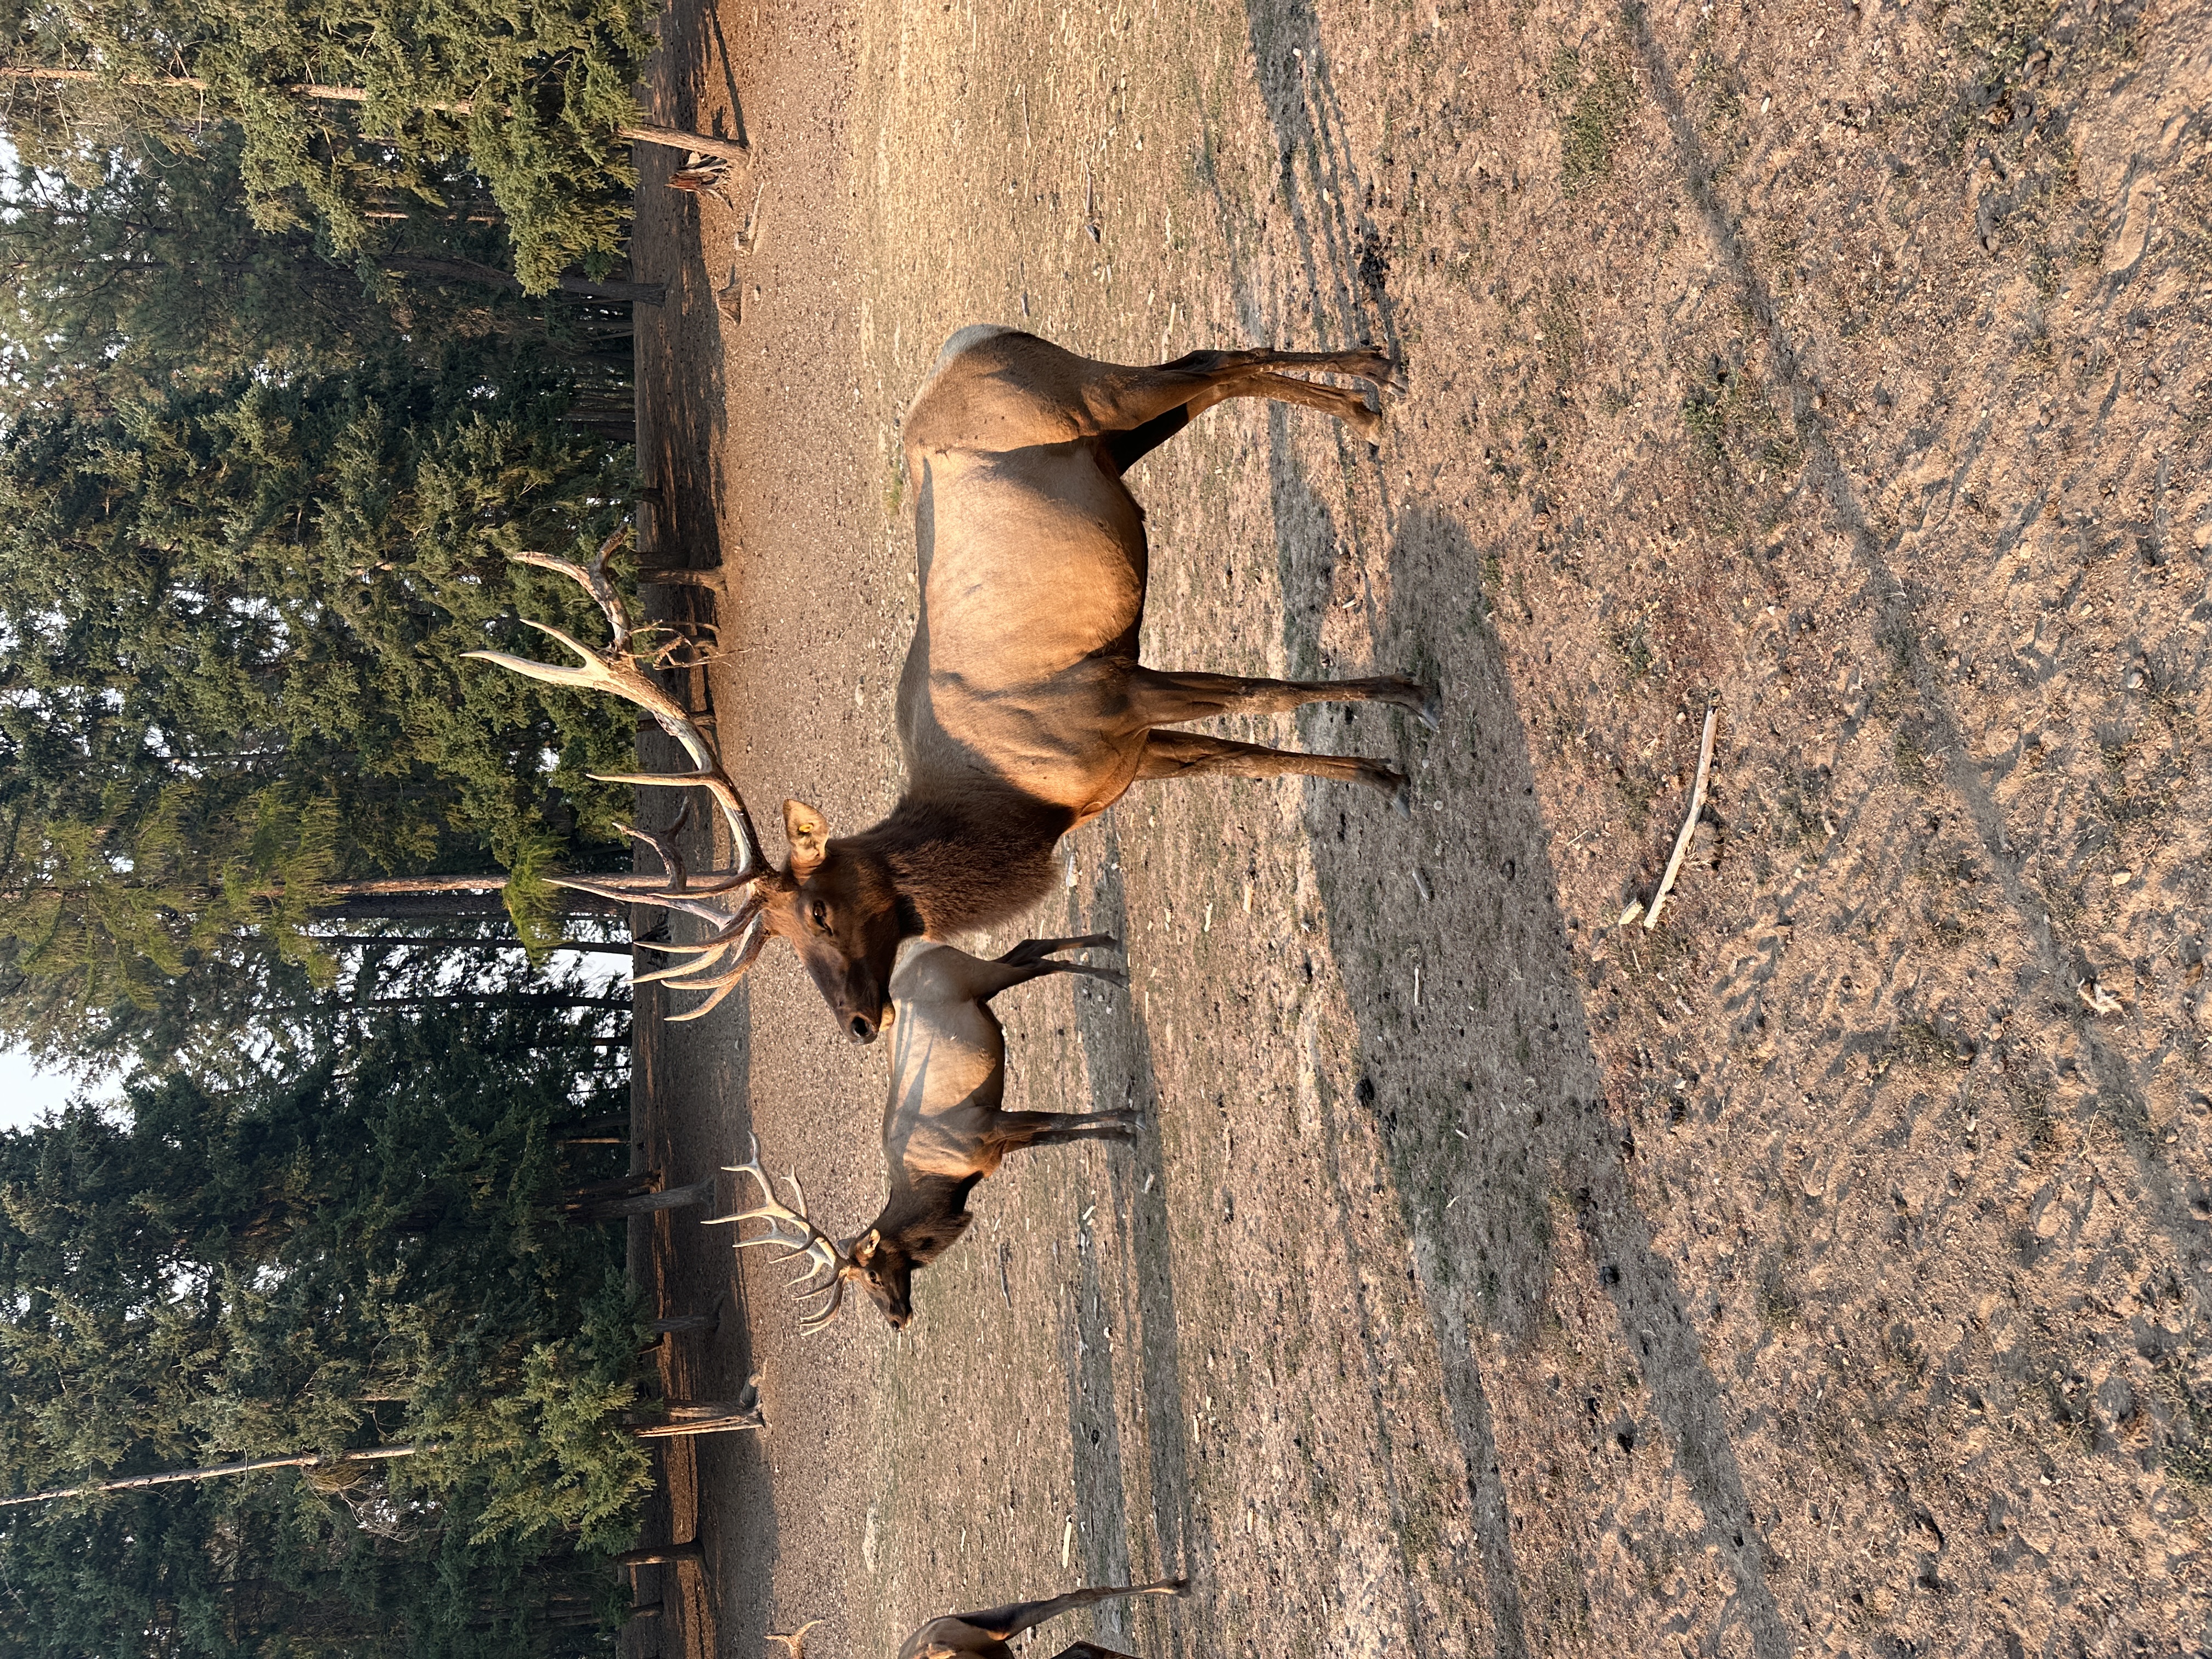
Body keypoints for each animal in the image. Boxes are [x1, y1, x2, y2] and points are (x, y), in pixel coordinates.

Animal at [470, 329, 1432, 1044]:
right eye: (778, 942)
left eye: (817, 914)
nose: (860, 1025)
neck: (1013, 812)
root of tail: (974, 340)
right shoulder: (1126, 756)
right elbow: (1240, 759)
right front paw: (1377, 762)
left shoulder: (1119, 694)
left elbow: (1260, 695)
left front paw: (1397, 713)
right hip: (1115, 439)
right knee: (1214, 368)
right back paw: (1365, 382)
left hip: (1095, 398)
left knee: (1214, 362)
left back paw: (1367, 391)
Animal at [707, 933, 1135, 1331]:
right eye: (863, 1285)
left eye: (872, 1275)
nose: (897, 1320)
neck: (944, 1185)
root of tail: (920, 948)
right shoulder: (996, 1147)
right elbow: (1059, 1135)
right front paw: (1122, 1128)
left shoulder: (986, 1123)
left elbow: (1060, 1121)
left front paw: (1130, 1122)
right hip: (982, 983)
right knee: (1030, 947)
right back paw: (1110, 950)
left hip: (979, 977)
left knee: (1037, 961)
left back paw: (1113, 970)